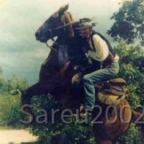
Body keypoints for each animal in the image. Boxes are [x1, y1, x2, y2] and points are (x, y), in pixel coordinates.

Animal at [21, 3, 144, 143]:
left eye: (52, 18)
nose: (37, 33)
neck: (62, 63)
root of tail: (131, 110)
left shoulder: (46, 85)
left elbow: (26, 92)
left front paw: (28, 116)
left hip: (103, 136)